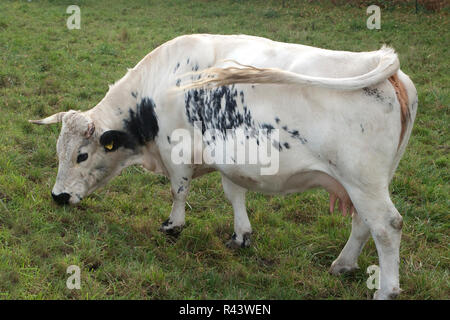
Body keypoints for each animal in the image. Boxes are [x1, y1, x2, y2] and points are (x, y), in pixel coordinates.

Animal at [29, 35, 418, 300]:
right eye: (58, 151)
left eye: (81, 155)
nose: (57, 196)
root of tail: (384, 65)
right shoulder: (229, 162)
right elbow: (235, 194)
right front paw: (241, 235)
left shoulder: (175, 151)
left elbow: (179, 189)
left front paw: (173, 226)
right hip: (366, 183)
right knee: (363, 223)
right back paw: (343, 264)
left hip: (362, 181)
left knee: (387, 226)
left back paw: (385, 289)